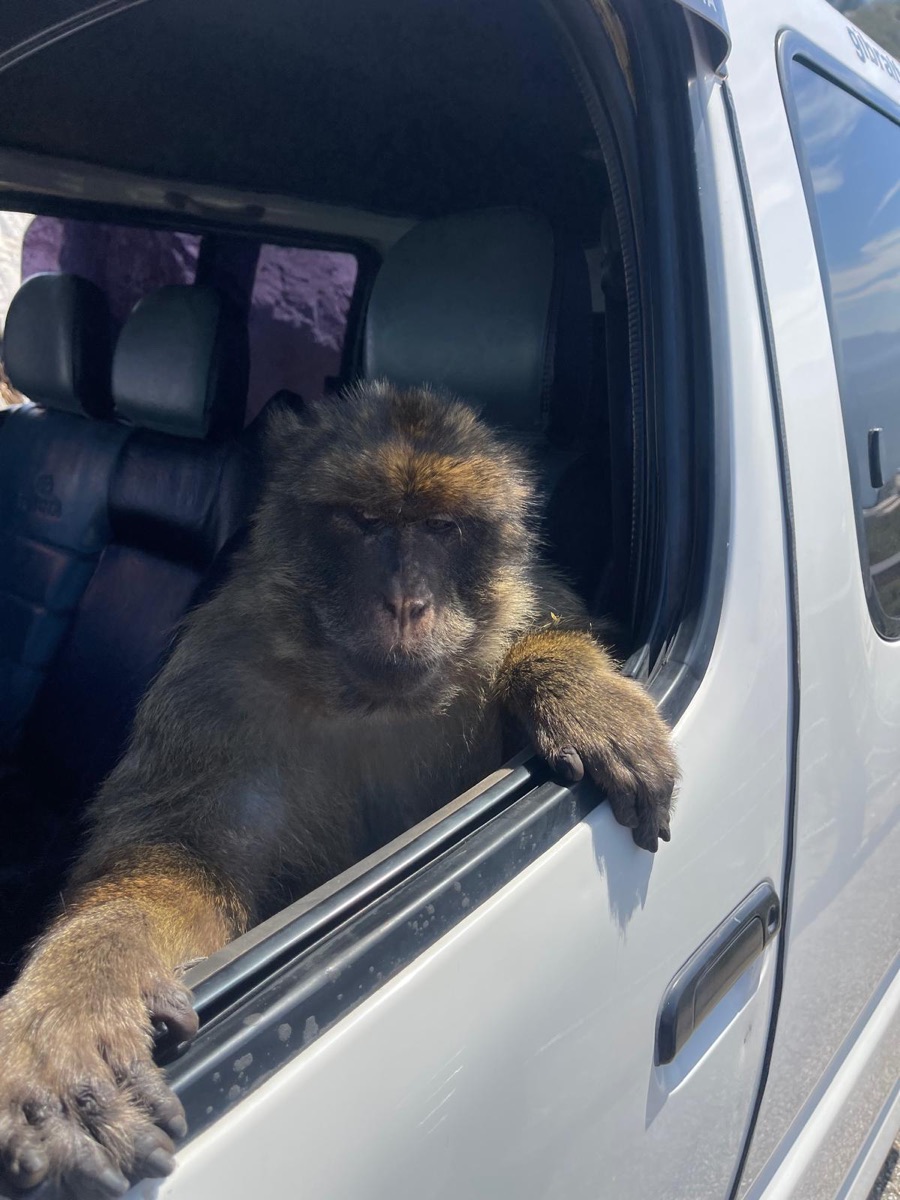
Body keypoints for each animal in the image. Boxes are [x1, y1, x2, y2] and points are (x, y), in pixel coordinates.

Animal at [0, 381, 677, 1199]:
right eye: (364, 523)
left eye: (443, 528)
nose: (406, 604)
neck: (365, 703)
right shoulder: (216, 691)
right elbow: (177, 865)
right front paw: (77, 1003)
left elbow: (539, 635)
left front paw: (578, 692)